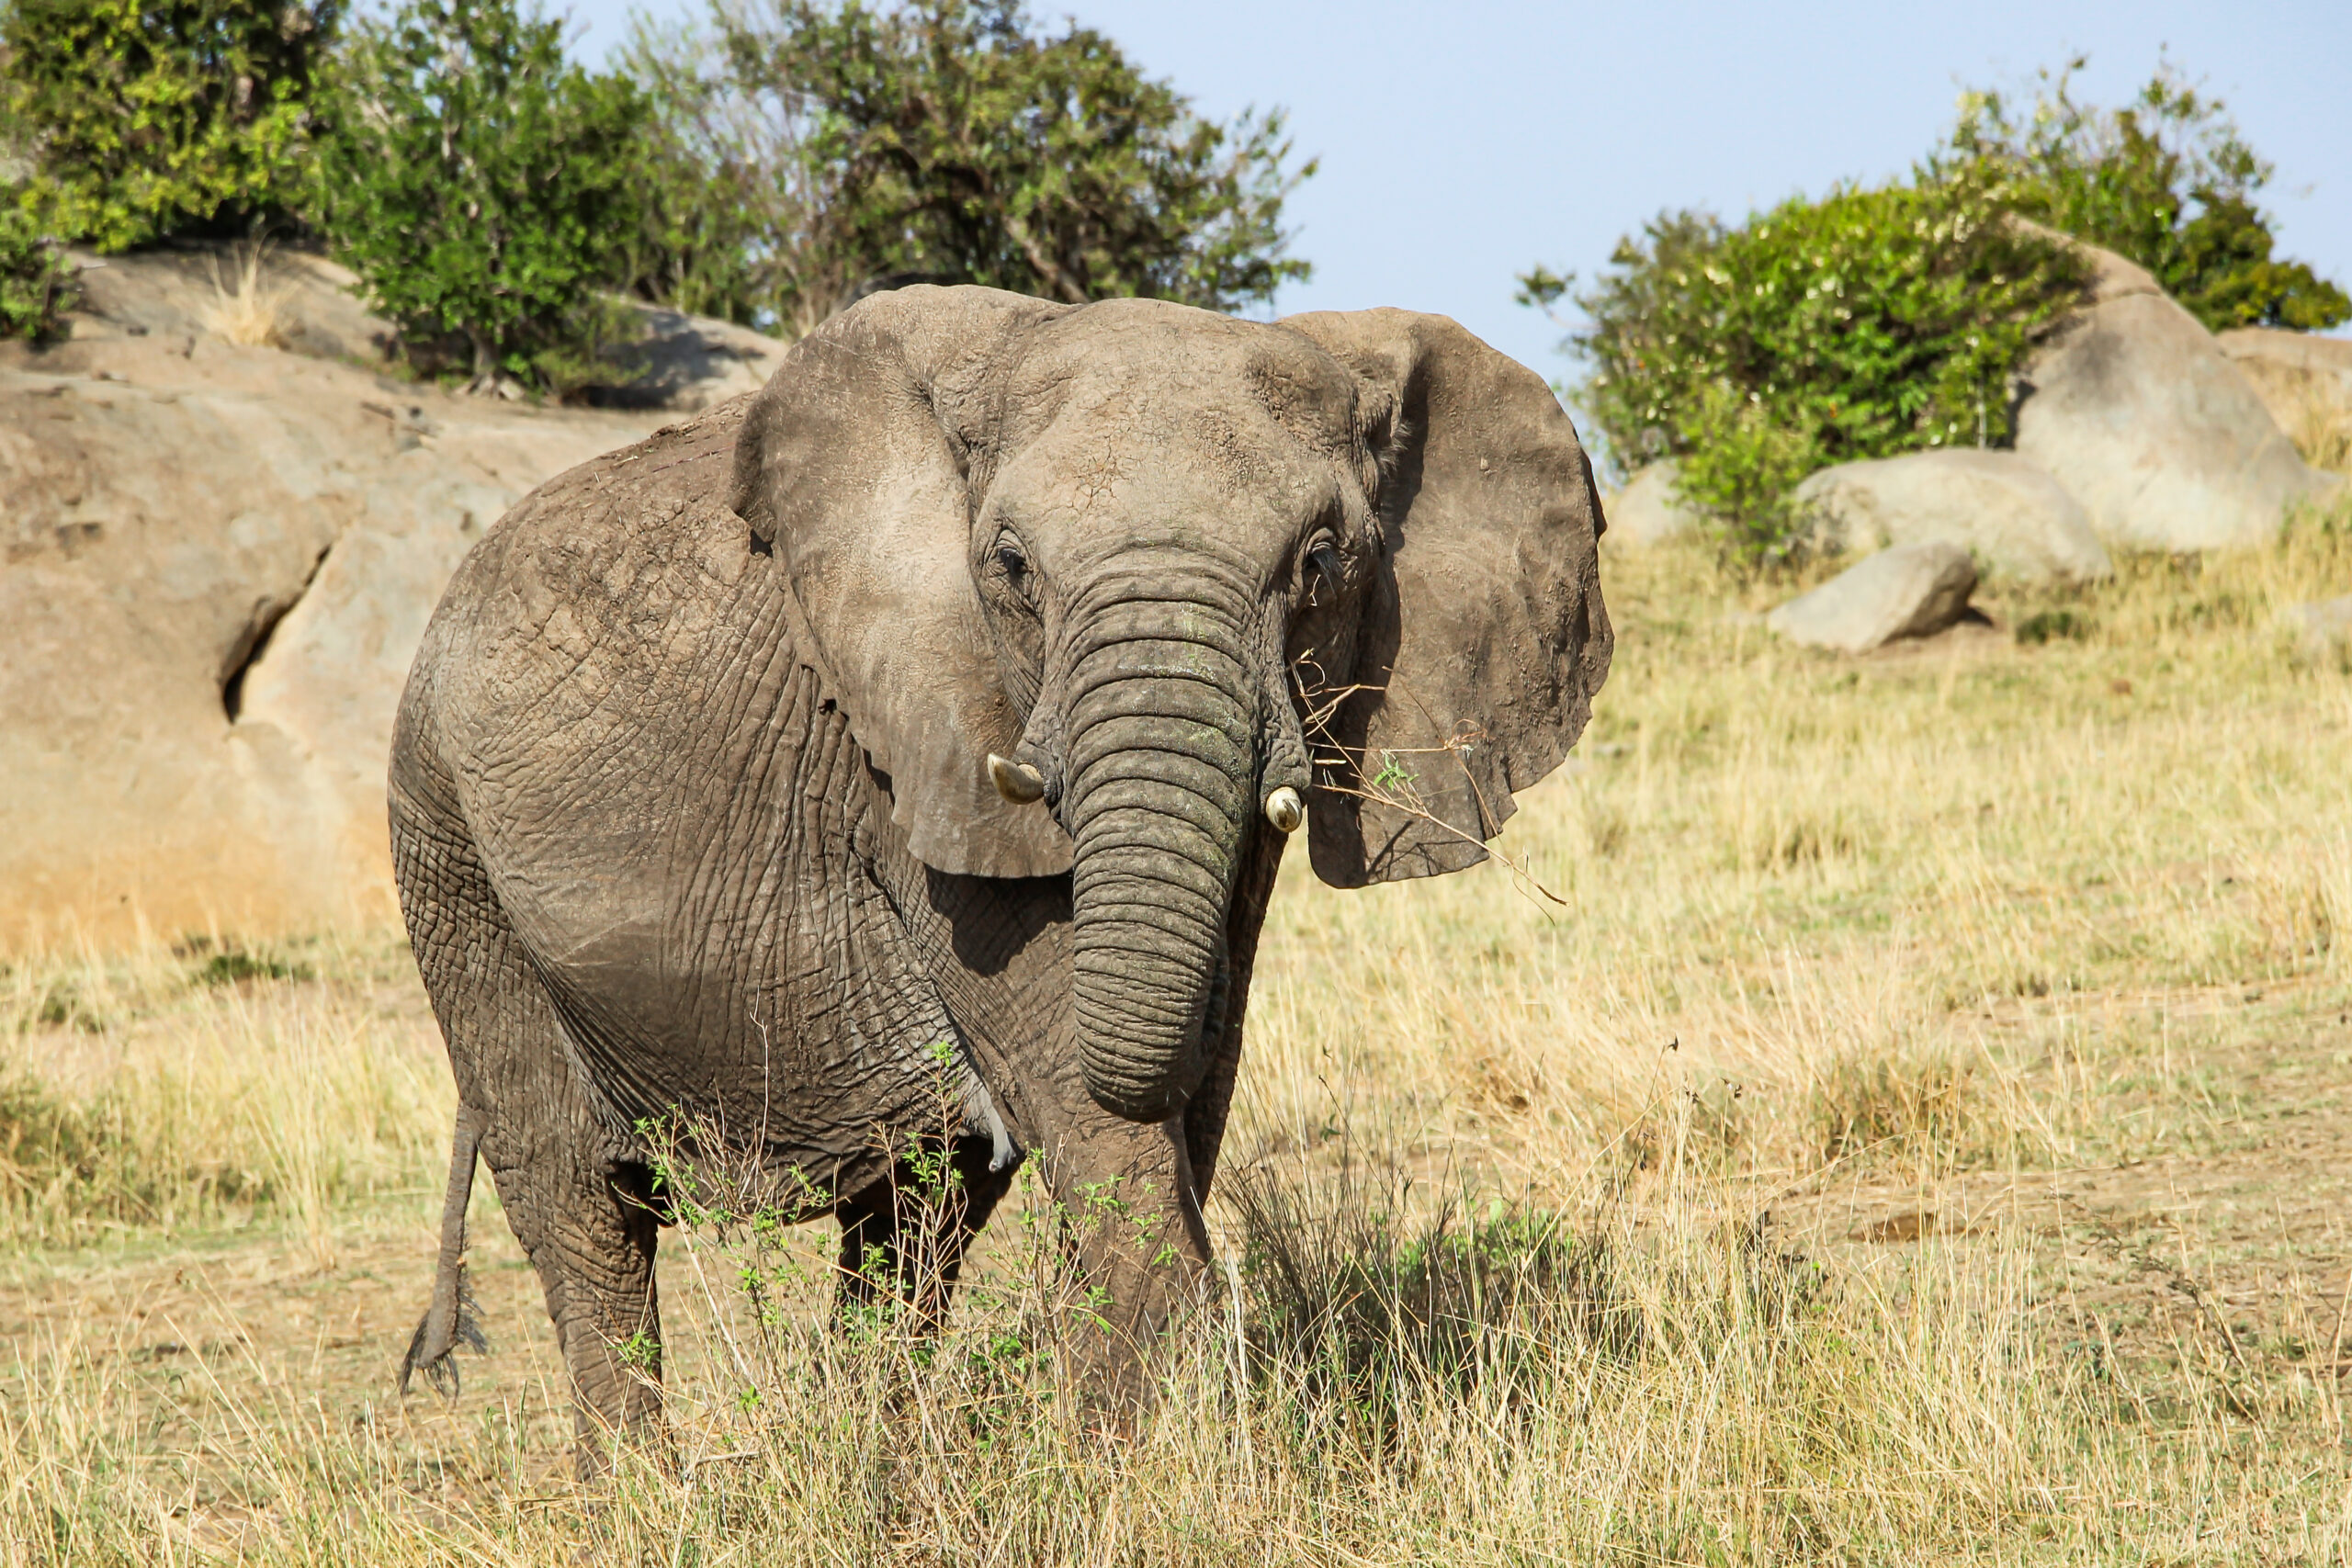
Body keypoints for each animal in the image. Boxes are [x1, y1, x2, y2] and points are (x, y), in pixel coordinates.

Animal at [390, 288, 1618, 1476]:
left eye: (1321, 563)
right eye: (1014, 570)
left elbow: (1175, 1087)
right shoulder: (903, 751)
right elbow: (1082, 1082)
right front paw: (1148, 1476)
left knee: (912, 1221)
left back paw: (876, 1470)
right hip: (450, 855)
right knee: (579, 1206)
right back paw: (645, 1501)